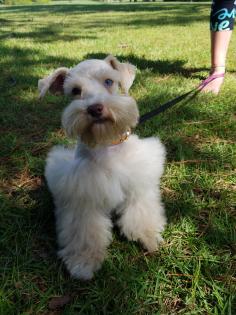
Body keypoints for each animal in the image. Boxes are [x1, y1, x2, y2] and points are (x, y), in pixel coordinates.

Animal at [38, 55, 167, 280]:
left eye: (109, 81)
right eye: (75, 91)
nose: (95, 108)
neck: (106, 143)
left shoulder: (138, 184)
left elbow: (141, 211)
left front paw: (147, 235)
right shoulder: (83, 196)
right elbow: (85, 232)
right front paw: (83, 262)